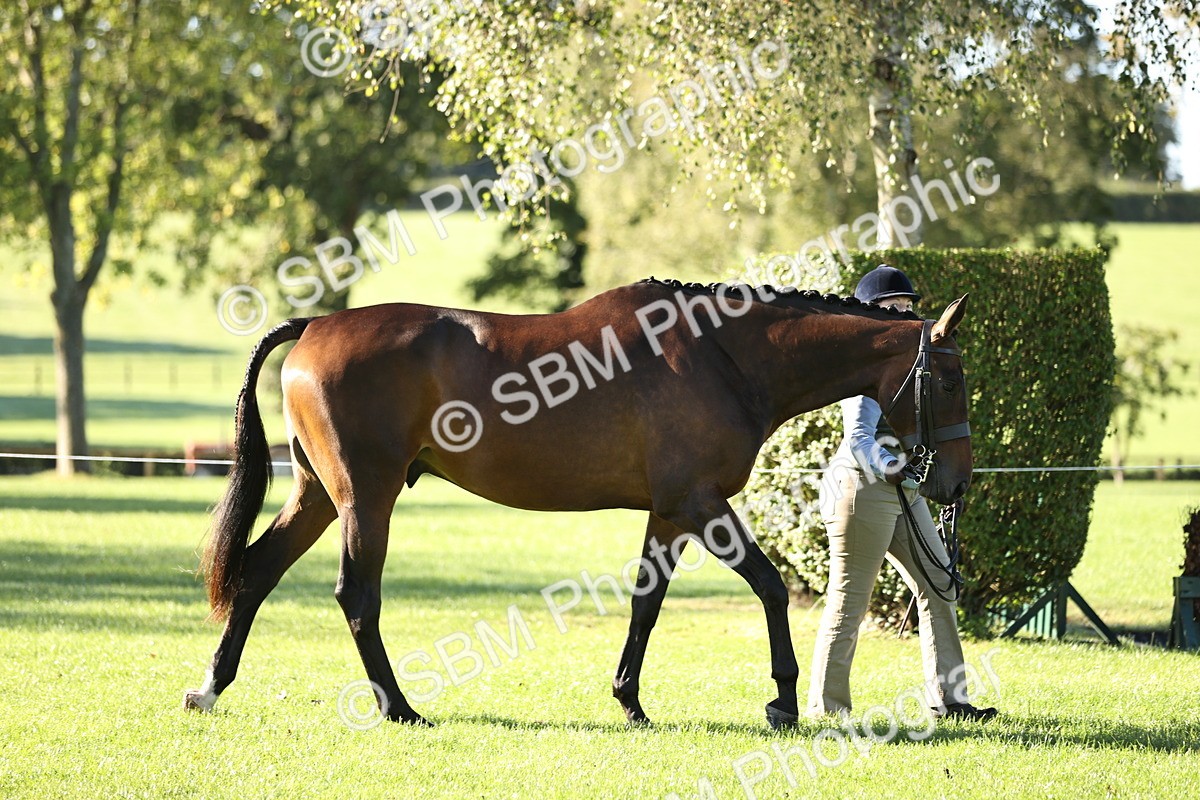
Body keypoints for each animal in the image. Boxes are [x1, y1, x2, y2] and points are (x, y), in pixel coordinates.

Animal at [185, 277, 971, 729]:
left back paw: (211, 687)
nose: (955, 483)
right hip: (365, 499)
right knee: (355, 596)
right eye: (950, 382)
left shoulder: (671, 513)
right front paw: (781, 700)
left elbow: (645, 605)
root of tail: (315, 325)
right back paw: (399, 707)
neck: (723, 354)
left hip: (319, 495)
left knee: (256, 573)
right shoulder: (700, 502)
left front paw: (630, 699)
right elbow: (771, 587)